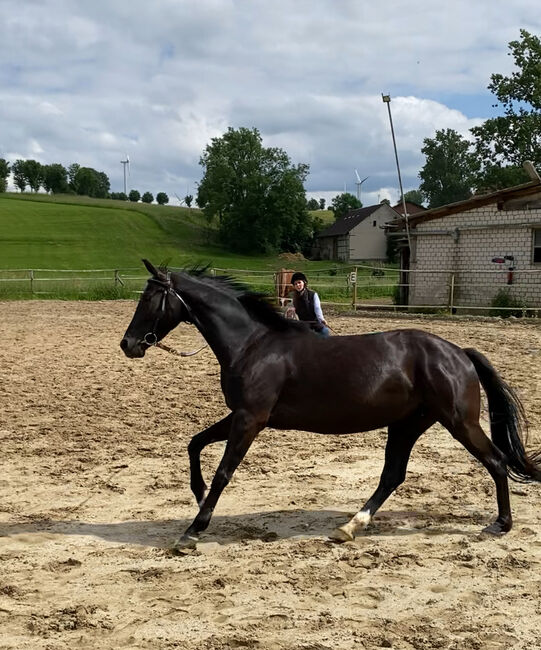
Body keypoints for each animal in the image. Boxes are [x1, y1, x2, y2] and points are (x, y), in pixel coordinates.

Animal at [120, 258, 536, 548]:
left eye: (150, 299)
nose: (128, 345)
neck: (252, 345)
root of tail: (459, 353)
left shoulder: (250, 419)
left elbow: (224, 471)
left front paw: (193, 530)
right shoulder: (242, 415)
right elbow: (195, 444)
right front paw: (197, 492)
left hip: (458, 422)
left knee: (496, 461)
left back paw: (501, 524)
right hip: (408, 423)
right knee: (392, 475)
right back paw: (349, 527)